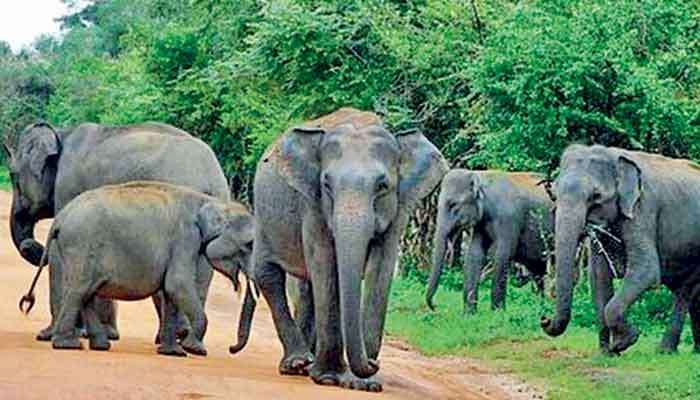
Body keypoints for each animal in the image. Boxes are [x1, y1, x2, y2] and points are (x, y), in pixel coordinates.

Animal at [2, 121, 230, 341]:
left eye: (13, 175)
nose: (32, 245)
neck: (61, 133)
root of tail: (209, 177)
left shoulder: (68, 187)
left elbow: (61, 255)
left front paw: (47, 335)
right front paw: (100, 334)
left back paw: (176, 336)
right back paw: (181, 338)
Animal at [19, 182, 255, 356]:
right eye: (250, 244)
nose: (232, 348)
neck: (210, 202)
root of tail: (59, 219)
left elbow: (171, 292)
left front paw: (173, 353)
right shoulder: (185, 238)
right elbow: (177, 284)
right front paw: (194, 350)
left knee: (87, 293)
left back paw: (100, 346)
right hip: (81, 245)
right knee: (79, 291)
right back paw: (68, 346)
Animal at [249, 108, 447, 391]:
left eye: (382, 186)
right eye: (326, 185)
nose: (374, 363)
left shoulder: (398, 210)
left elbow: (381, 268)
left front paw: (364, 383)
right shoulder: (313, 205)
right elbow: (325, 263)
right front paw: (330, 378)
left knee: (307, 287)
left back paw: (307, 364)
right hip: (264, 217)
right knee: (268, 274)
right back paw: (298, 364)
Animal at [426, 170, 553, 314]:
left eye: (453, 204)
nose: (435, 306)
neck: (480, 176)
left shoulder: (508, 219)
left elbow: (502, 255)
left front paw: (497, 312)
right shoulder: (480, 223)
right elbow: (475, 254)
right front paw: (469, 313)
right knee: (538, 270)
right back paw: (540, 304)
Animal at [541, 144, 700, 355]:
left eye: (596, 197)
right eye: (554, 195)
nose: (544, 319)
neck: (614, 155)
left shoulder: (642, 209)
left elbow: (646, 271)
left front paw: (626, 340)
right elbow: (598, 277)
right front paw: (607, 353)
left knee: (685, 291)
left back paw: (665, 351)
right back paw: (692, 351)